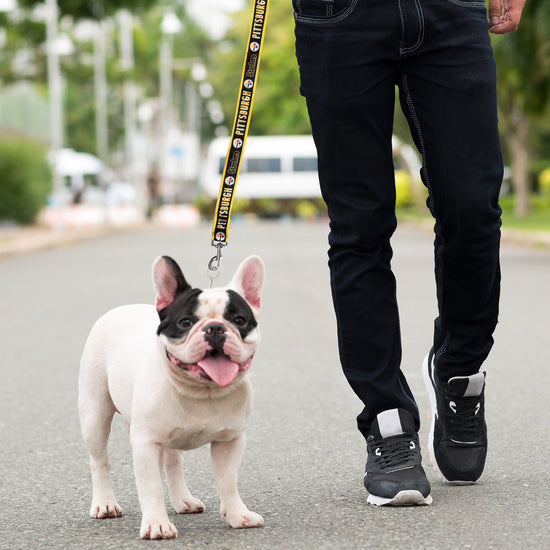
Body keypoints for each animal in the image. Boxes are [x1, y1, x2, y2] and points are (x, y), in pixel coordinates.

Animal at [78, 256, 266, 540]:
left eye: (240, 320)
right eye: (186, 322)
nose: (214, 328)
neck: (203, 391)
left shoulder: (230, 441)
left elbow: (228, 481)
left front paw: (237, 515)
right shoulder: (146, 443)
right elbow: (151, 487)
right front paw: (156, 524)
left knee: (172, 462)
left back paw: (183, 500)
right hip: (95, 415)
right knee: (99, 461)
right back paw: (105, 503)